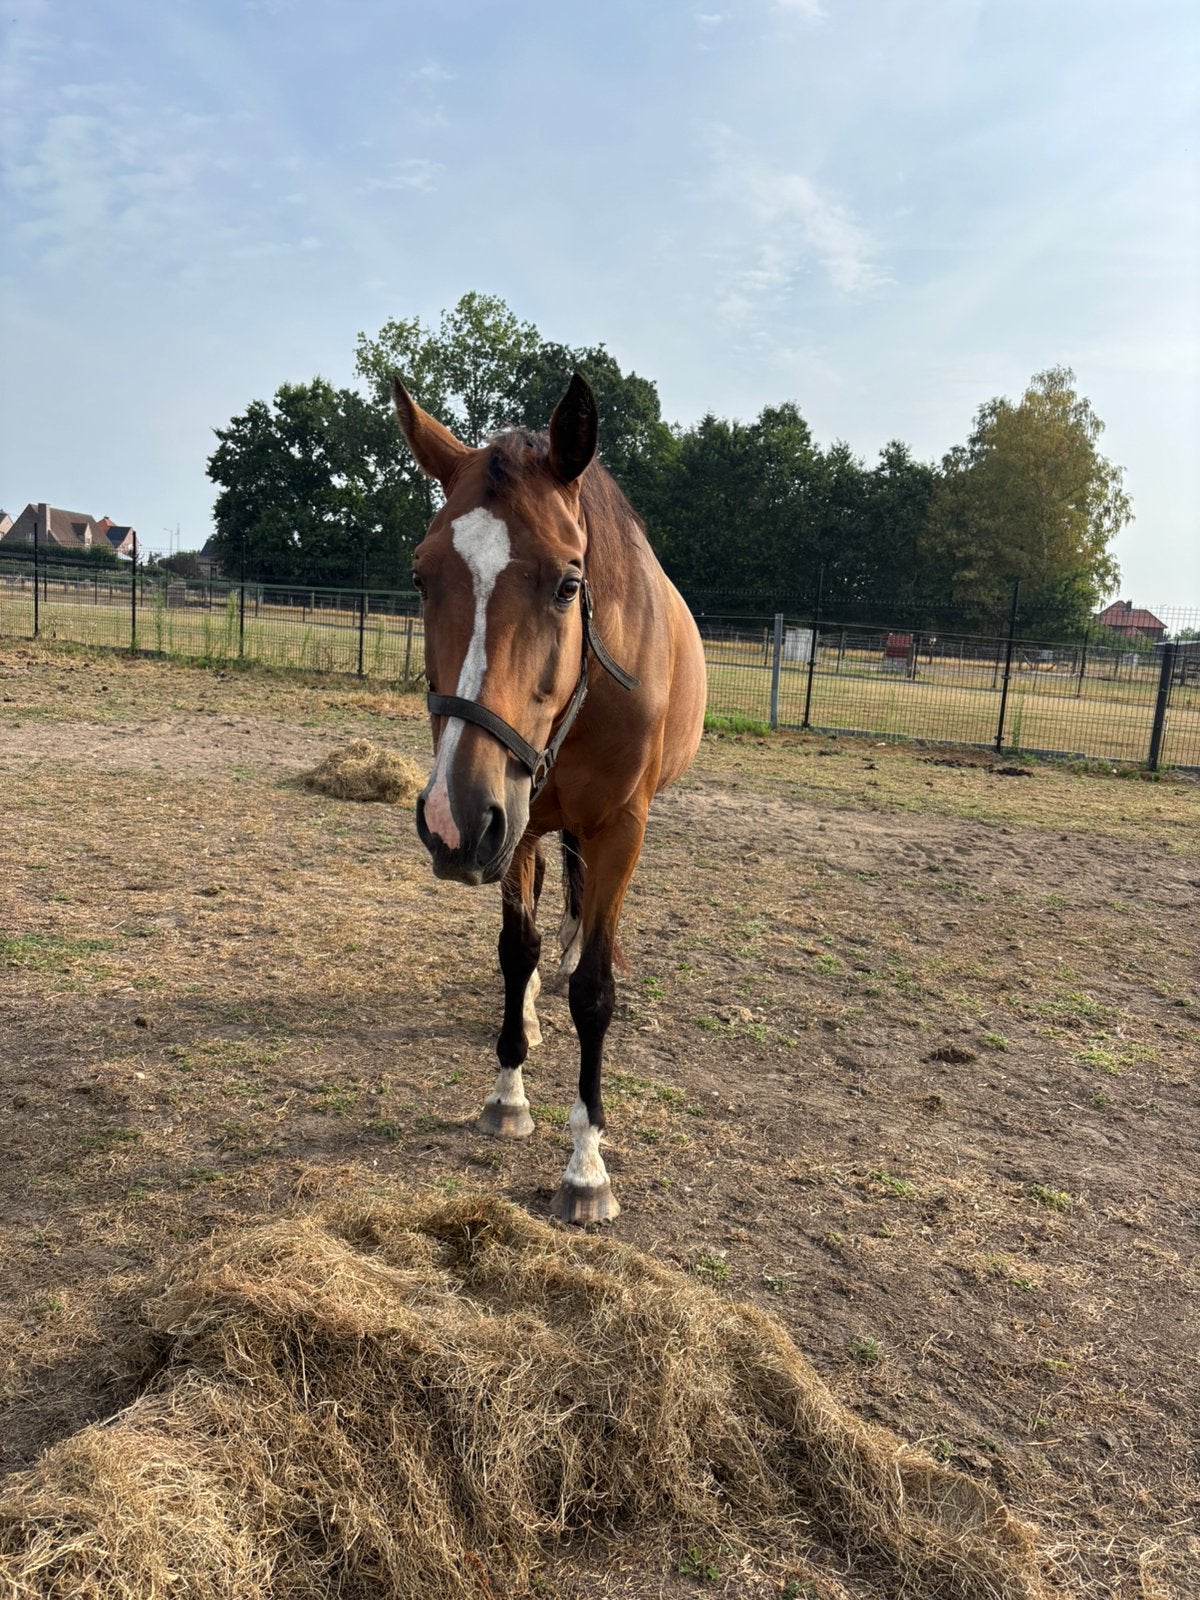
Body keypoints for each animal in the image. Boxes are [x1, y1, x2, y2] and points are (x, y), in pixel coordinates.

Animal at [392, 371, 706, 1223]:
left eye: (570, 583)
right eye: (421, 576)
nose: (450, 823)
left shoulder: (618, 828)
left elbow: (596, 988)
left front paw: (587, 1165)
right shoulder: (515, 822)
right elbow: (514, 949)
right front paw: (508, 1091)